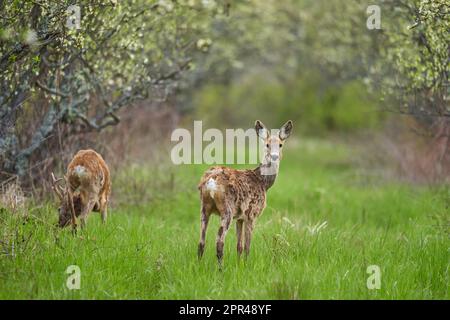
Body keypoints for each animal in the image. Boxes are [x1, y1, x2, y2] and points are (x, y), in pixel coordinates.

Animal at [197, 120, 292, 264]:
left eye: (280, 144)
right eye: (267, 144)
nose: (275, 156)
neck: (263, 182)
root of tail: (211, 182)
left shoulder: (240, 217)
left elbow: (239, 246)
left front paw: (239, 264)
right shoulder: (252, 214)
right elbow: (247, 246)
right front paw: (246, 264)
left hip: (204, 208)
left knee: (201, 242)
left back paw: (199, 264)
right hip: (227, 209)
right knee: (219, 242)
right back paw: (221, 268)